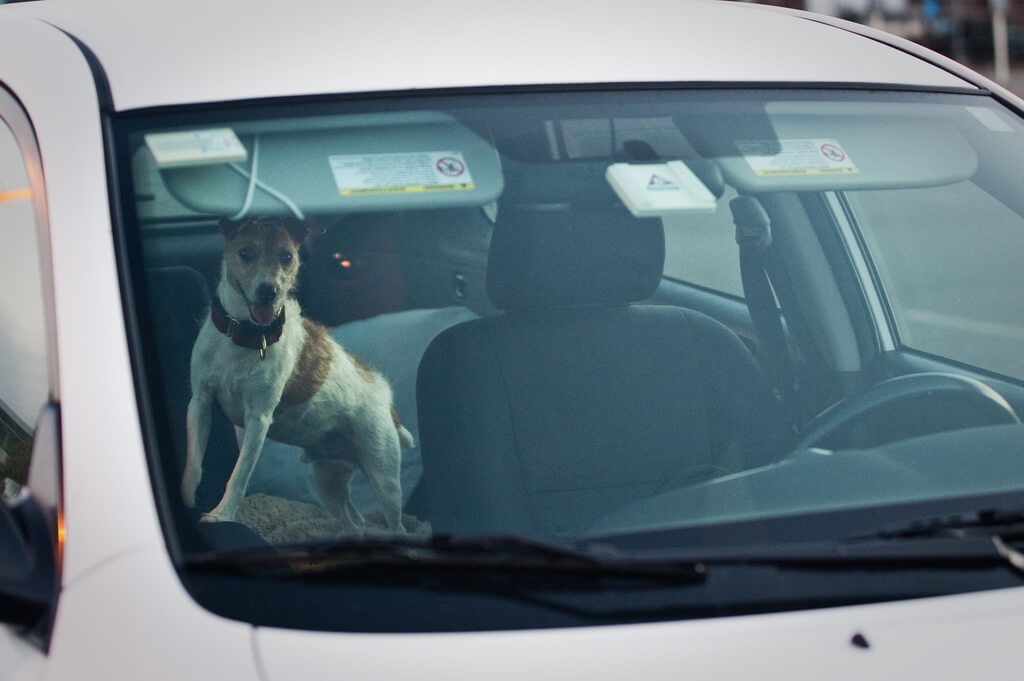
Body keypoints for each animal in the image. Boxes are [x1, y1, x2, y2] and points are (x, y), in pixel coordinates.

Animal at [182, 215, 409, 532]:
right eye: (245, 253)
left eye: (287, 257)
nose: (269, 290)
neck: (245, 335)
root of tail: (385, 398)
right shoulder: (200, 403)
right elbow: (193, 464)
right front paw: (186, 498)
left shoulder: (258, 420)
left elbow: (239, 475)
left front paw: (222, 514)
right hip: (327, 481)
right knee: (356, 521)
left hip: (384, 477)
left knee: (396, 525)